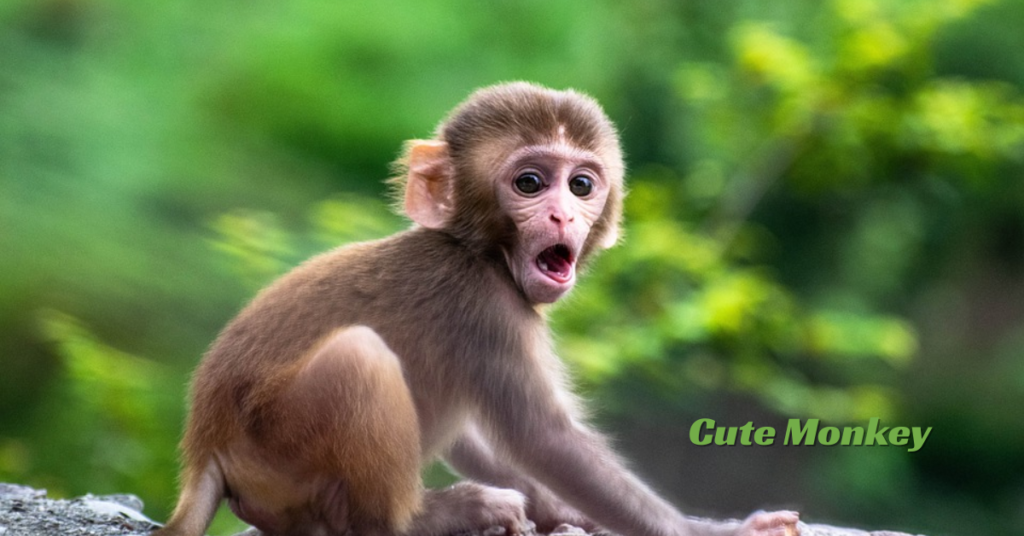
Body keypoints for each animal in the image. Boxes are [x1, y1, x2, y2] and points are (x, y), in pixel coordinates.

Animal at [154, 82, 800, 536]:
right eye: (531, 183)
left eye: (582, 185)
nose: (563, 214)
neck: (479, 251)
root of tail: (205, 448)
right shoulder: (485, 307)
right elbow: (543, 438)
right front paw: (712, 529)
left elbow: (479, 435)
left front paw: (564, 511)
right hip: (279, 447)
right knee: (361, 359)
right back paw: (426, 518)